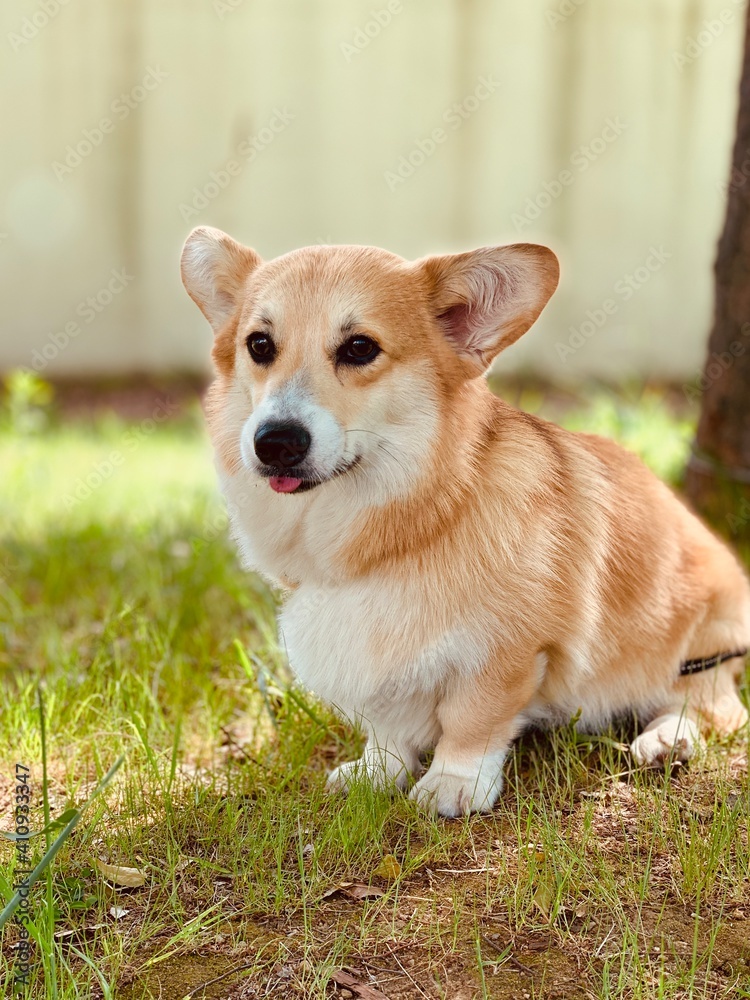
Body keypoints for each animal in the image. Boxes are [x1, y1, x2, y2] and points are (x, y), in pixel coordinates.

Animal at [182, 229, 750, 820]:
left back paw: (667, 739)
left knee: (712, 706)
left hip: (695, 645)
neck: (409, 526)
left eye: (360, 348)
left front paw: (453, 783)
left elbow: (472, 720)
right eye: (259, 345)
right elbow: (386, 727)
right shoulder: (376, 662)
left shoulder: (505, 653)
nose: (274, 442)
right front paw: (376, 772)